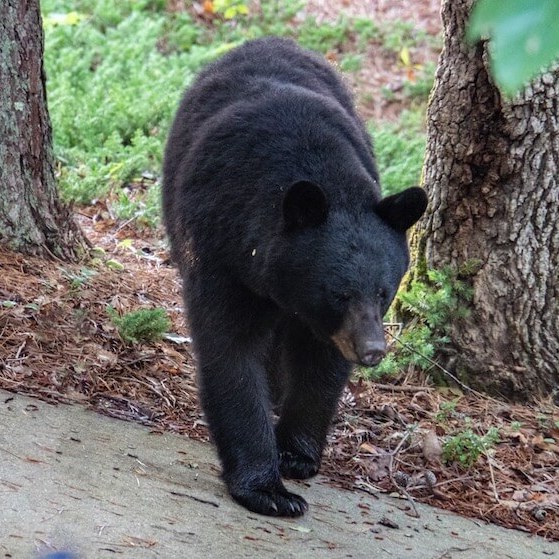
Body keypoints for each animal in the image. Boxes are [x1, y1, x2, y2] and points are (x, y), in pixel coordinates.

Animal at [163, 37, 428, 520]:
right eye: (339, 293)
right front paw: (268, 489)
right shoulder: (220, 250)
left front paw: (296, 454)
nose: (373, 350)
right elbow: (231, 349)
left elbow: (320, 363)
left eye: (384, 292)